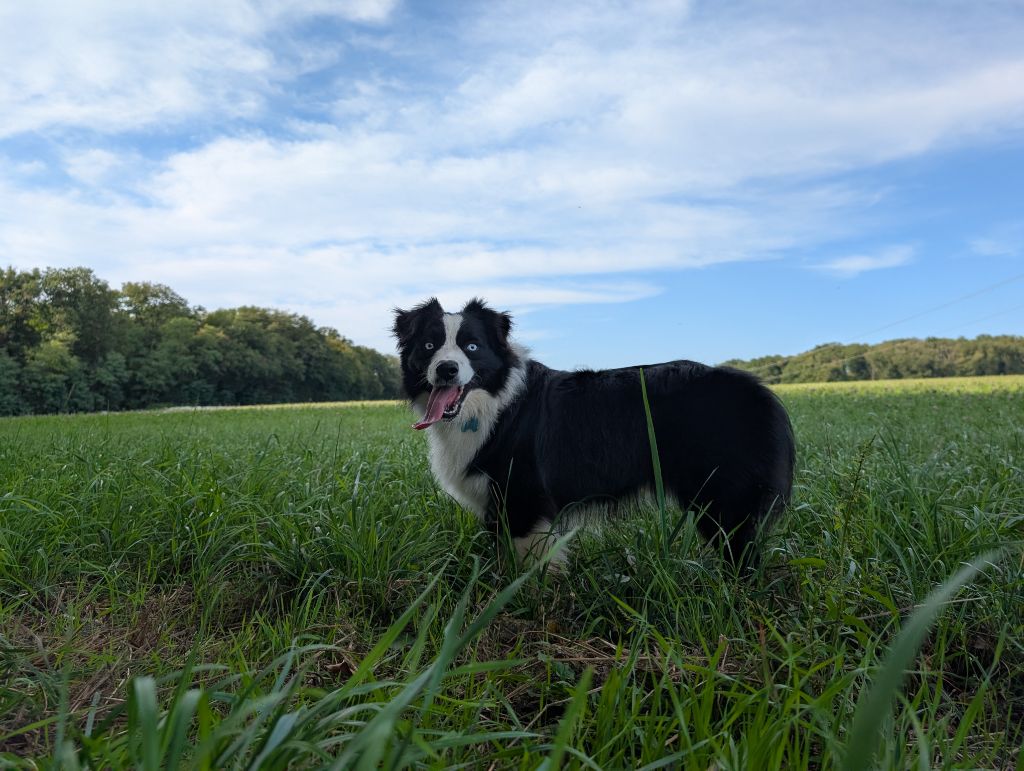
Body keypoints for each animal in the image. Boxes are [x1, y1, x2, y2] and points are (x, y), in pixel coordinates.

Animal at [392, 297, 795, 568]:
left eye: (472, 347)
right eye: (429, 345)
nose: (446, 369)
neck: (491, 404)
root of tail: (760, 390)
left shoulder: (523, 499)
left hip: (725, 496)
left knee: (741, 554)